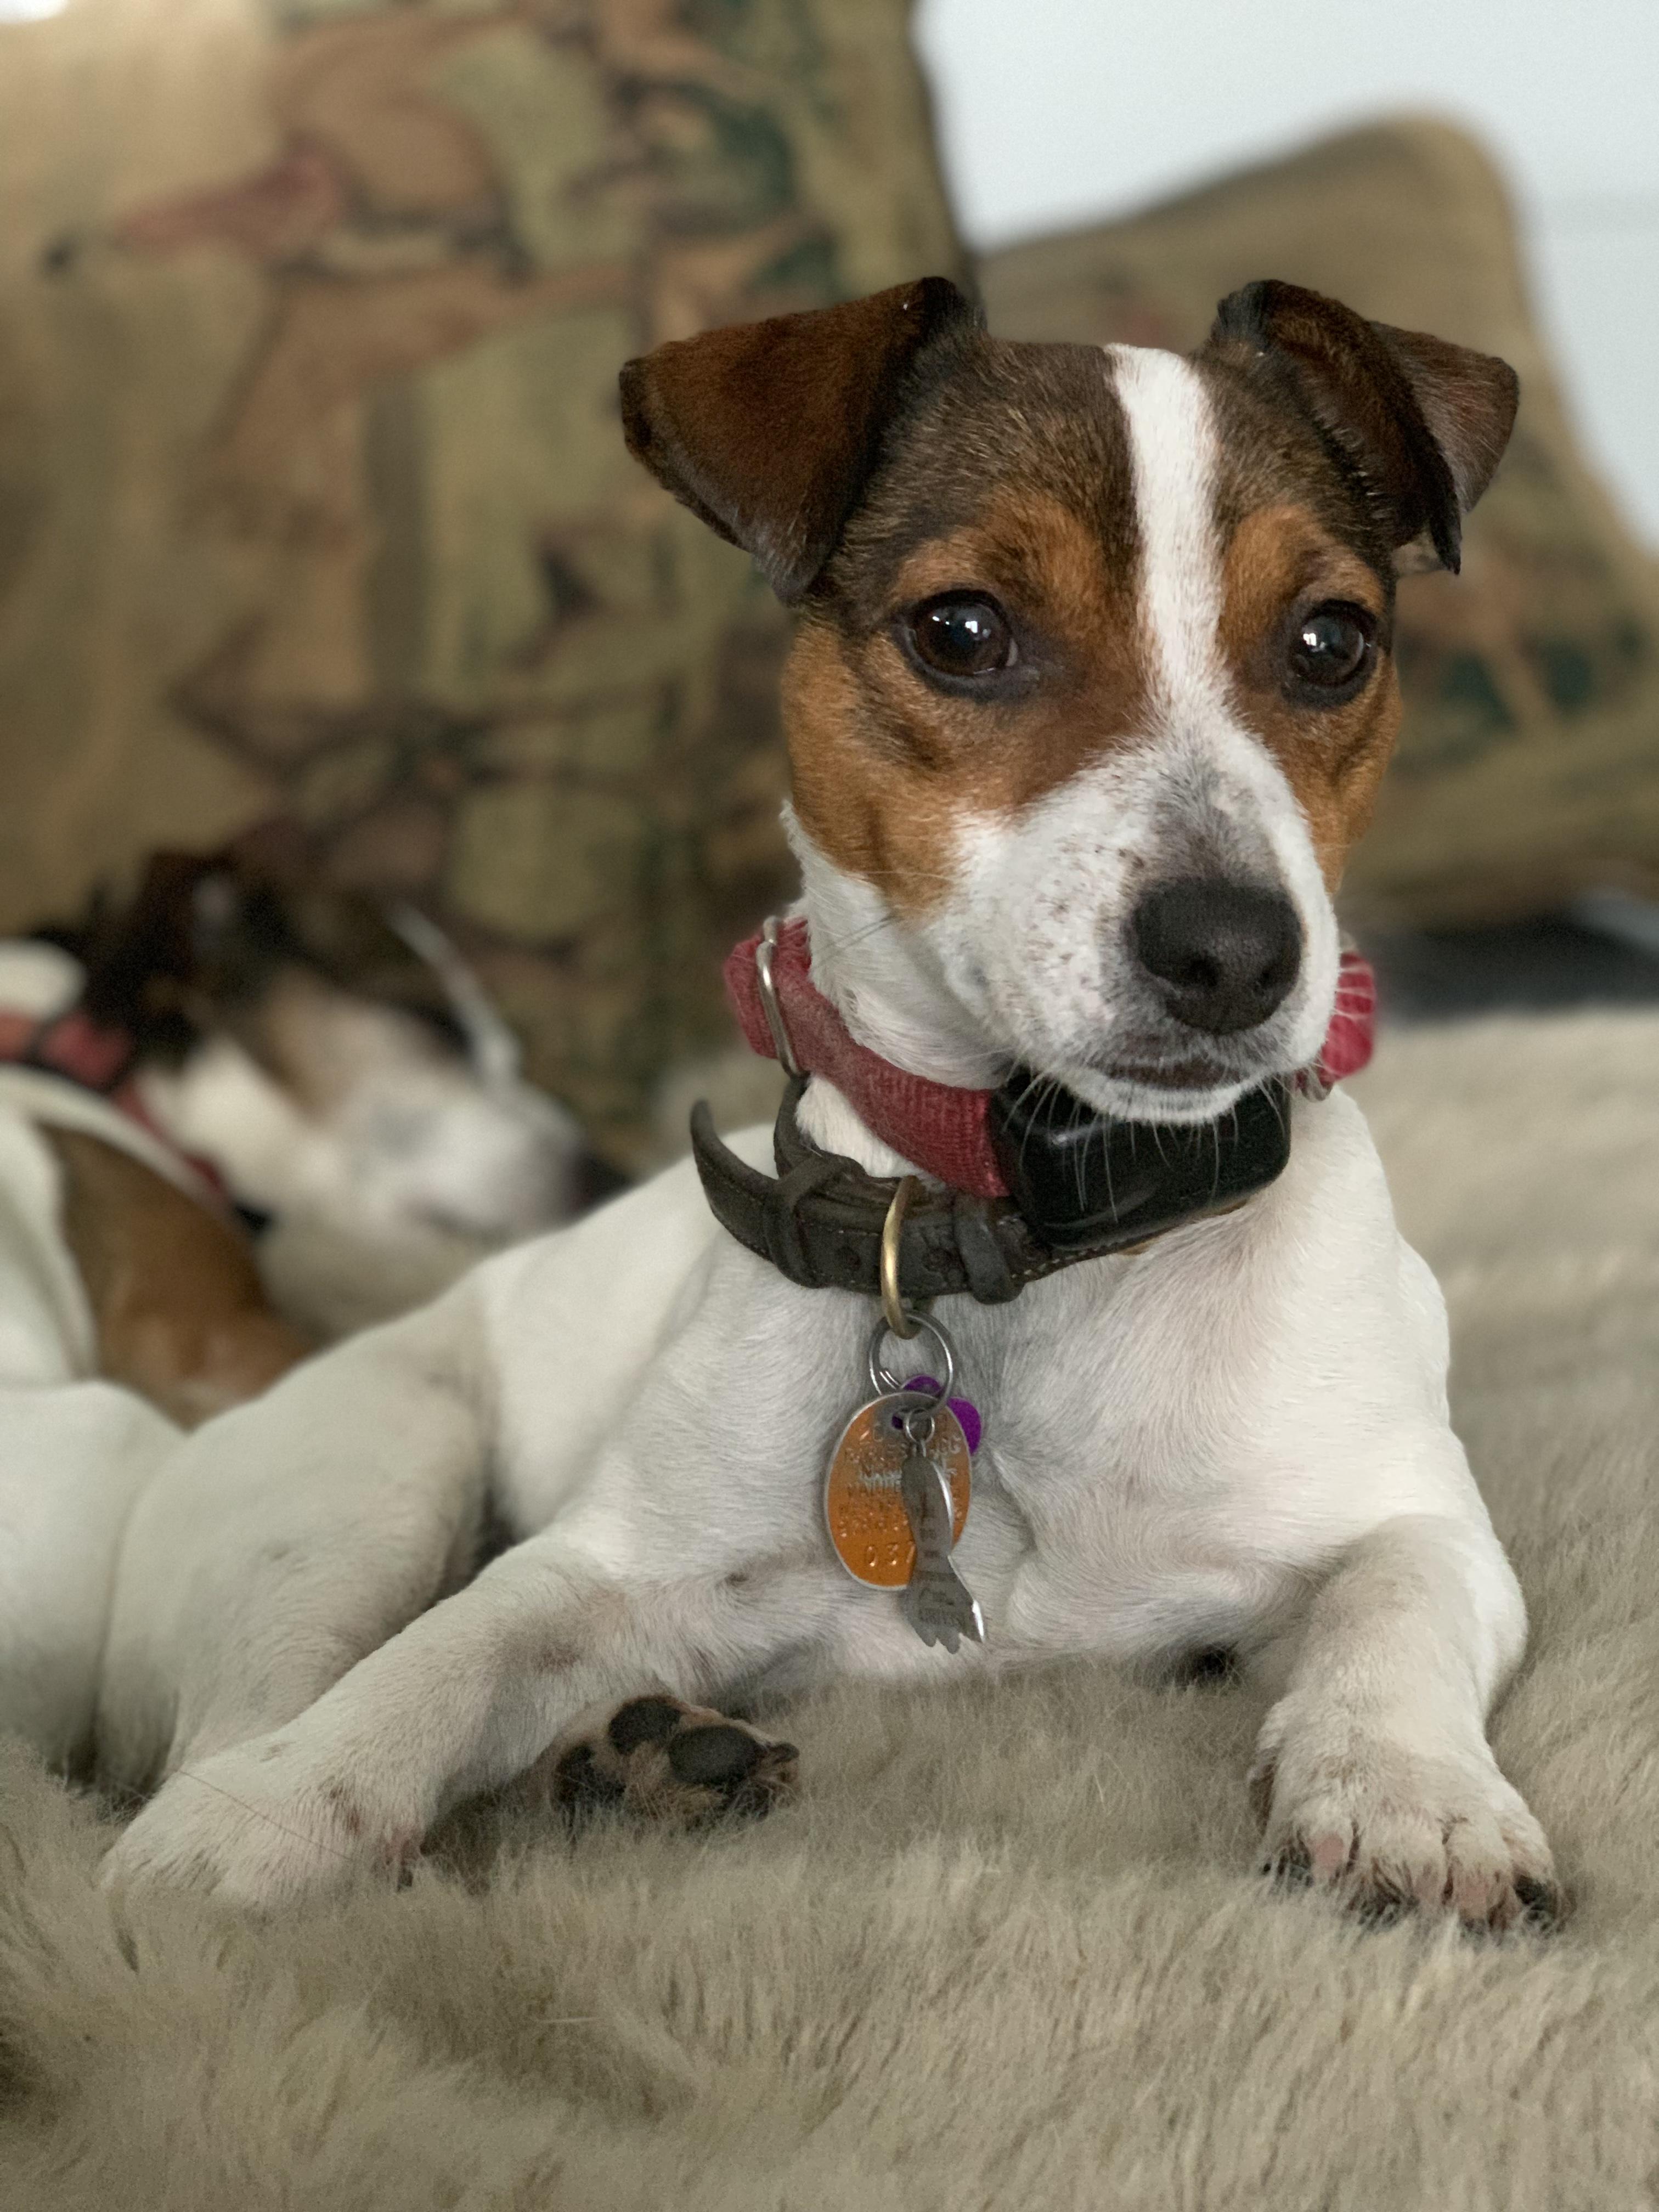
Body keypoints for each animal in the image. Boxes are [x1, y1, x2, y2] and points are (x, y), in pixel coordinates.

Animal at [7, 276, 1558, 1927]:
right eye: (962, 630)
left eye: (1332, 643)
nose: (1236, 953)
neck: (1026, 1231)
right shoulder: (613, 1569)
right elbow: (450, 1655)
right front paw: (284, 1803)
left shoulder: (1414, 1518)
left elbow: (1396, 1606)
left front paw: (1408, 1789)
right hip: (365, 1485)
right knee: (258, 1693)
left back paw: (634, 1759)